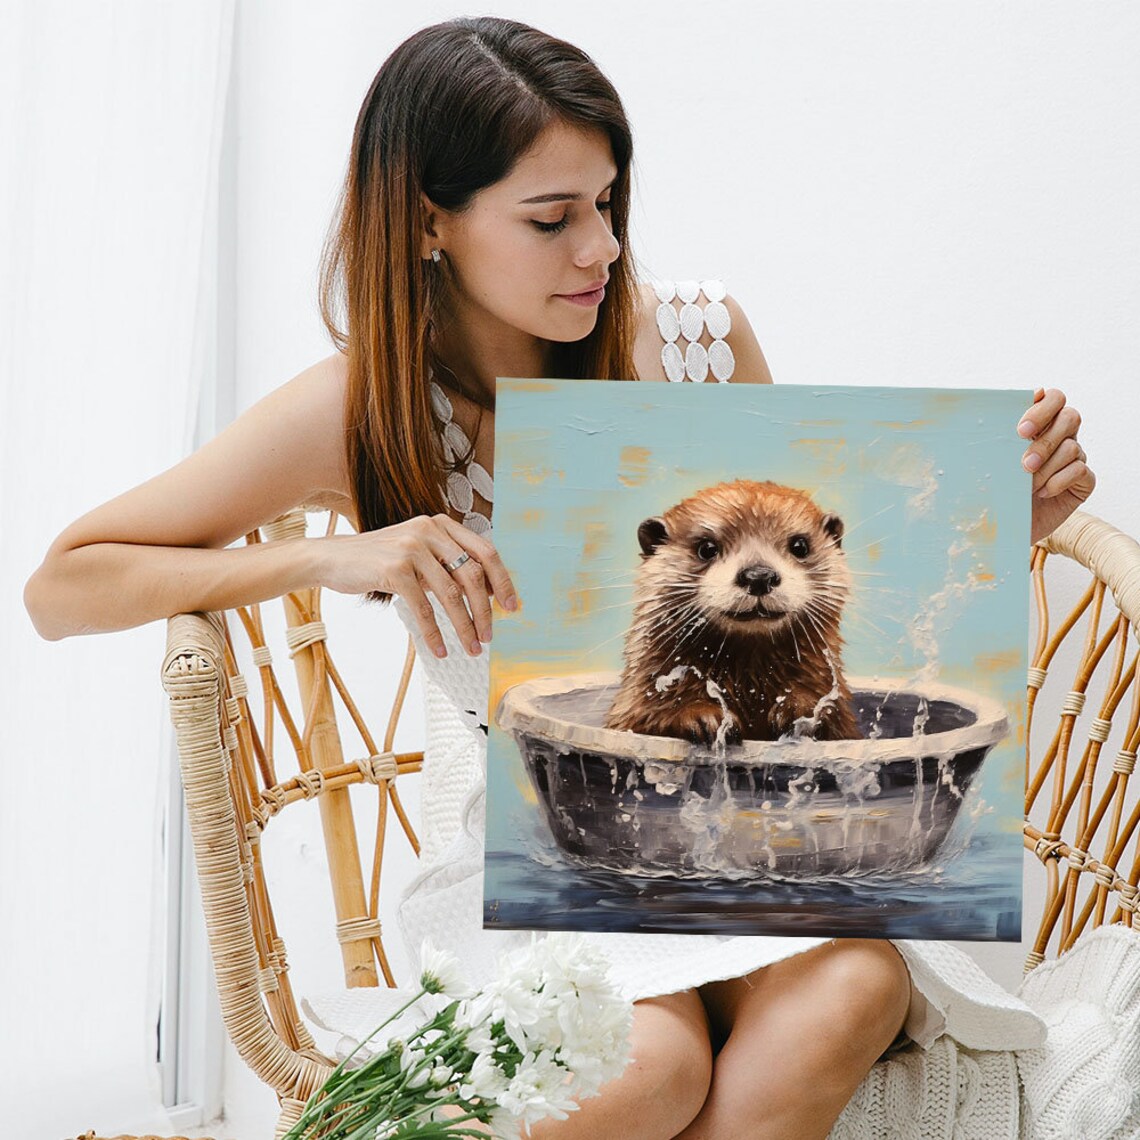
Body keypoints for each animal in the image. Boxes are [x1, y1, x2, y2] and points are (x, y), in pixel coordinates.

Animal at [605, 480, 860, 746]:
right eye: (707, 548)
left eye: (800, 546)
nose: (759, 575)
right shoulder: (634, 704)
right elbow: (650, 714)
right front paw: (701, 715)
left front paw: (801, 709)